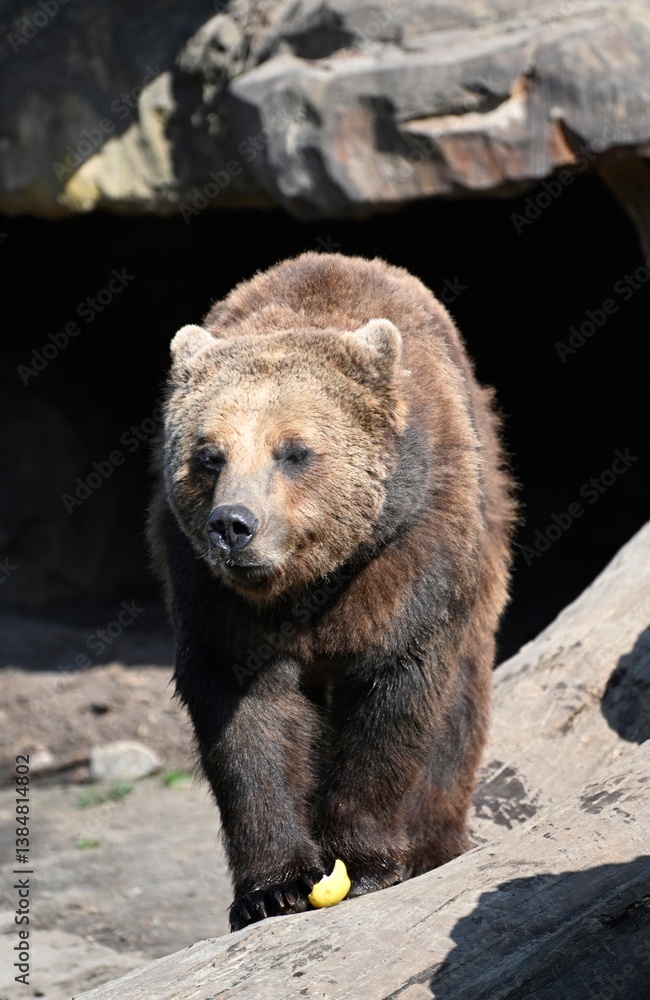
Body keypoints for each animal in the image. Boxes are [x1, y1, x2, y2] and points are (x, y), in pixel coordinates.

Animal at [147, 251, 515, 932]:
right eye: (209, 454)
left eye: (293, 451)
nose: (233, 525)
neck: (308, 583)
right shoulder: (214, 596)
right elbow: (248, 720)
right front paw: (271, 889)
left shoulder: (406, 550)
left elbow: (394, 692)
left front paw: (364, 861)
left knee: (460, 708)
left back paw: (436, 842)